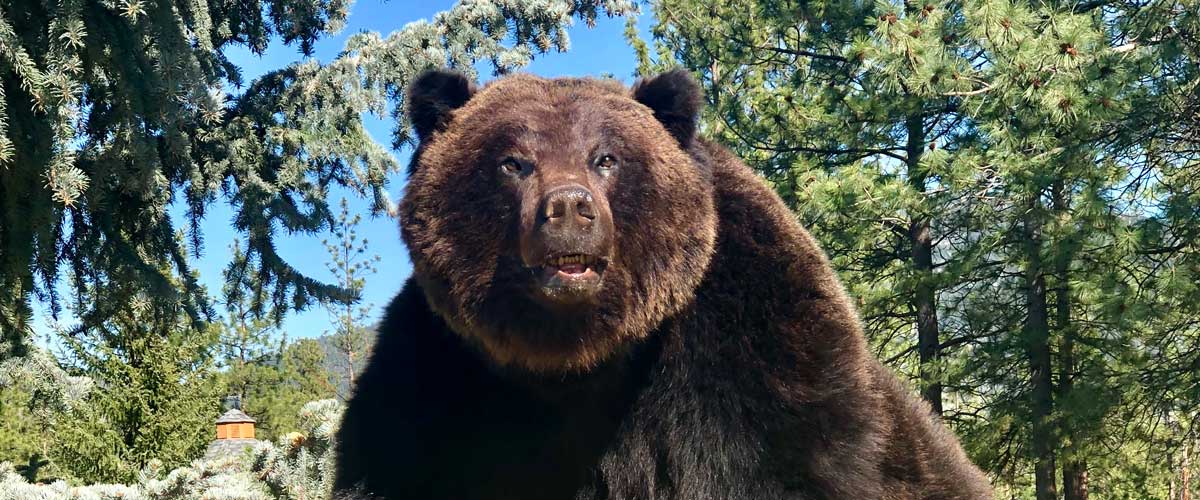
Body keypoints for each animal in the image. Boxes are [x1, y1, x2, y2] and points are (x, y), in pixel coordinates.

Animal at [333, 68, 993, 500]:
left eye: (606, 157)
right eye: (513, 161)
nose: (569, 208)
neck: (577, 367)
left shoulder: (748, 354)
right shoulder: (442, 384)